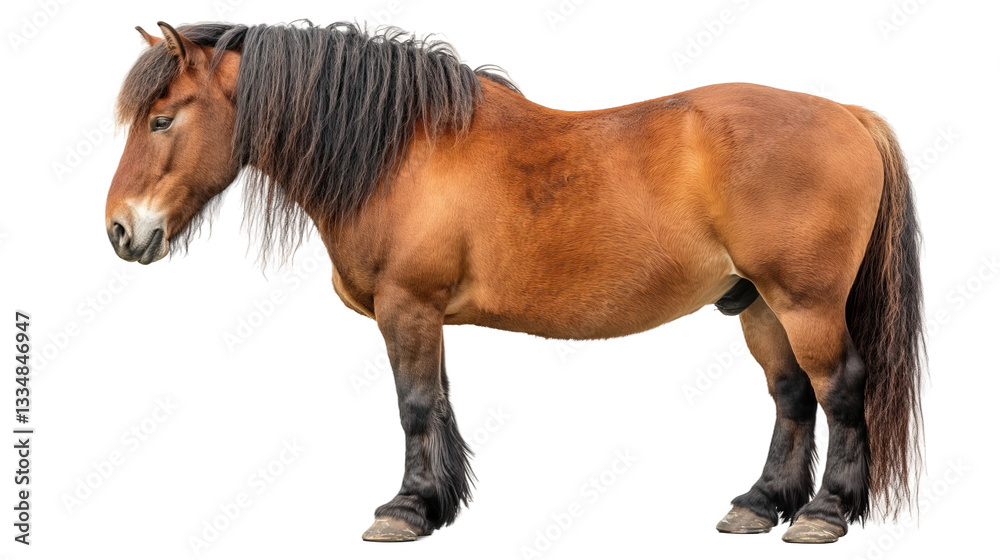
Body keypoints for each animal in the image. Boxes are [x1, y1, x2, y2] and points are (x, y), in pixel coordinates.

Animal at [105, 21, 924, 544]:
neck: (397, 149)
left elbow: (414, 406)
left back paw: (823, 514)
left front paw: (406, 511)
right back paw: (759, 505)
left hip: (805, 303)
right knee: (791, 396)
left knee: (840, 388)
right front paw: (438, 503)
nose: (119, 230)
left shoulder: (408, 308)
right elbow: (435, 404)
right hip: (757, 305)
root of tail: (847, 115)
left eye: (162, 119)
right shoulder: (423, 317)